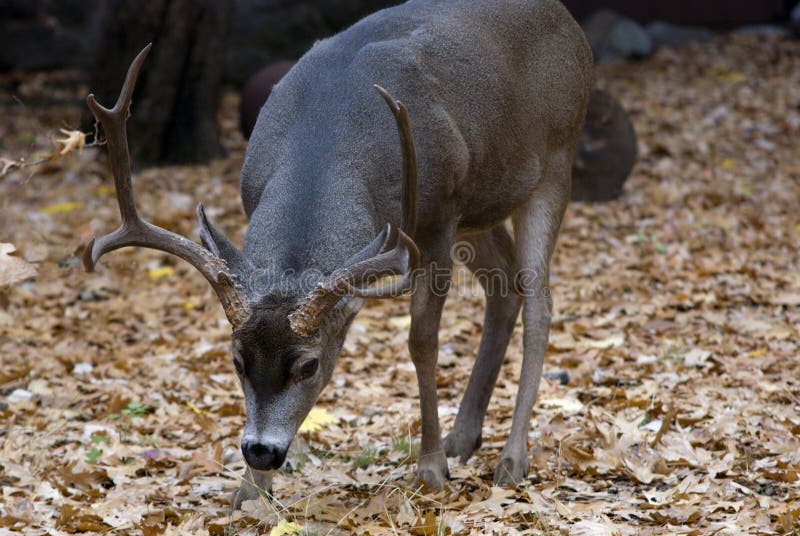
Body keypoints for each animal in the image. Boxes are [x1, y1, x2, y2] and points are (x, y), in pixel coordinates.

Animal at [81, 0, 592, 505]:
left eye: (309, 365)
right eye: (237, 361)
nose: (261, 451)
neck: (328, 132)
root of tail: (569, 22)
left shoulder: (437, 222)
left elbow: (422, 340)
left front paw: (429, 469)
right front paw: (249, 493)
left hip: (556, 159)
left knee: (540, 303)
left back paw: (511, 460)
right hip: (481, 209)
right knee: (504, 287)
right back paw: (463, 439)